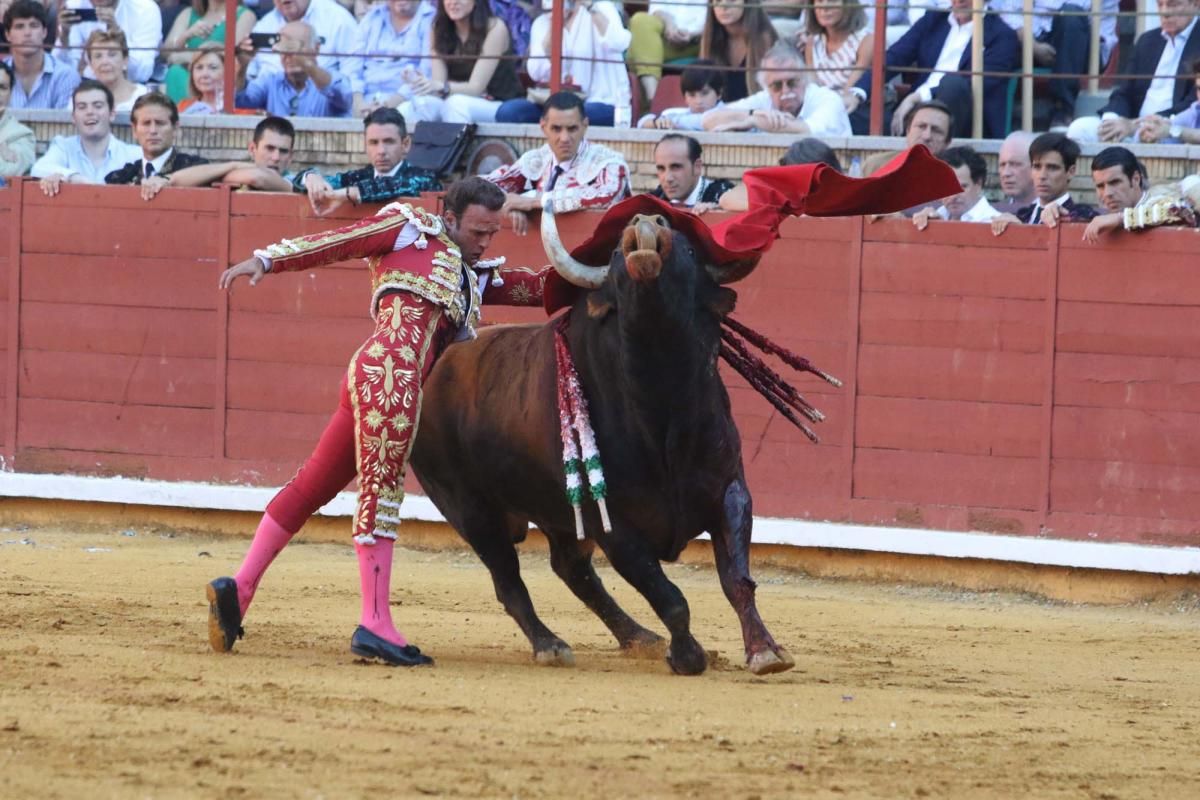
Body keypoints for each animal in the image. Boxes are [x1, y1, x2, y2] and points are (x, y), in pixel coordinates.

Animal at [412, 201, 796, 676]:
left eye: (689, 248)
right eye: (613, 254)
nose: (646, 222)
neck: (663, 403)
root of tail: (436, 361)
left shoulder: (729, 491)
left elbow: (738, 579)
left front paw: (765, 651)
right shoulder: (613, 525)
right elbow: (670, 597)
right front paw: (688, 655)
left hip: (555, 511)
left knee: (571, 569)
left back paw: (639, 637)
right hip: (468, 508)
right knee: (509, 580)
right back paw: (551, 644)